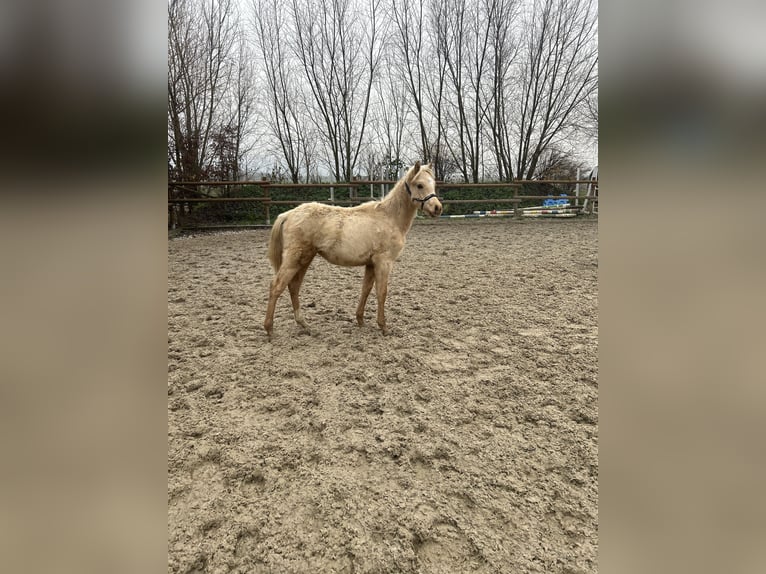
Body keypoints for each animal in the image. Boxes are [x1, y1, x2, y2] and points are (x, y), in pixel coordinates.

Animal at [266, 162, 440, 340]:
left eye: (433, 184)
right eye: (419, 185)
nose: (437, 208)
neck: (389, 218)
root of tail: (288, 215)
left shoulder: (371, 264)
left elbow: (366, 290)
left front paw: (360, 320)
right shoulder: (384, 262)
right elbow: (381, 292)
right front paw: (383, 327)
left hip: (305, 259)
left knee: (293, 287)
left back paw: (304, 325)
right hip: (295, 259)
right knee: (276, 286)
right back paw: (270, 329)